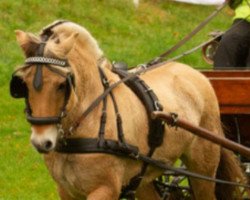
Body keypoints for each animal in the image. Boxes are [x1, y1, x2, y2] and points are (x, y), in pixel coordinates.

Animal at [12, 21, 245, 199]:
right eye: (22, 84)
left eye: (62, 85)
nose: (42, 142)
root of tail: (196, 74)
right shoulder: (66, 191)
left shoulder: (105, 189)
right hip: (144, 177)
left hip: (203, 168)